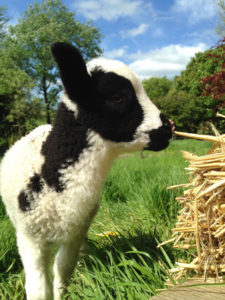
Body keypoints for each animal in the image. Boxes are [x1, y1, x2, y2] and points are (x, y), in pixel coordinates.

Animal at [0, 42, 172, 300]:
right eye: (117, 97)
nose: (168, 129)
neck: (51, 176)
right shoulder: (30, 237)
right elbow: (39, 288)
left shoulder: (75, 231)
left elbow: (63, 270)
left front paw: (64, 291)